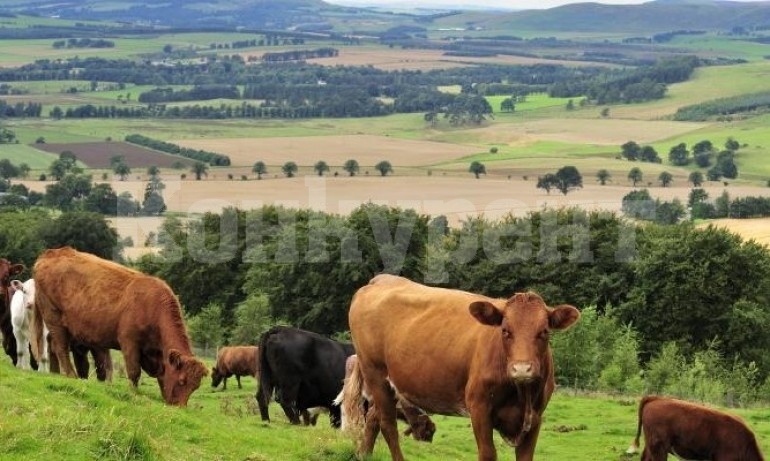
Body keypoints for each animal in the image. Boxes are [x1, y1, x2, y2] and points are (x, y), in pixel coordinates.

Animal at [33, 246, 208, 404]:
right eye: (182, 381)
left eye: (195, 387)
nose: (180, 407)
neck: (153, 307)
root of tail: (51, 254)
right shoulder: (129, 342)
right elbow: (134, 371)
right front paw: (133, 393)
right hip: (54, 318)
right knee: (60, 348)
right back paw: (70, 375)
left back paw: (55, 373)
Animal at [348, 274, 576, 460]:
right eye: (505, 330)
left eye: (544, 331)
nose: (521, 369)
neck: (522, 395)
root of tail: (380, 280)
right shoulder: (479, 408)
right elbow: (488, 454)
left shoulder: (535, 417)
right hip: (374, 373)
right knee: (388, 425)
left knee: (373, 418)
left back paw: (363, 455)